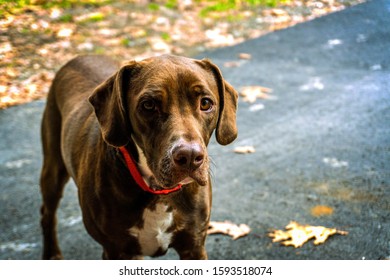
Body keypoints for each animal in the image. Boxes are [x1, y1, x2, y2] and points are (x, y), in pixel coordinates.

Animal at [41, 53, 239, 260]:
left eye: (205, 103)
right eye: (149, 105)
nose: (190, 157)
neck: (157, 192)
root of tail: (79, 57)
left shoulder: (194, 247)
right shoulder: (116, 251)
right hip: (53, 170)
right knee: (47, 213)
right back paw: (51, 253)